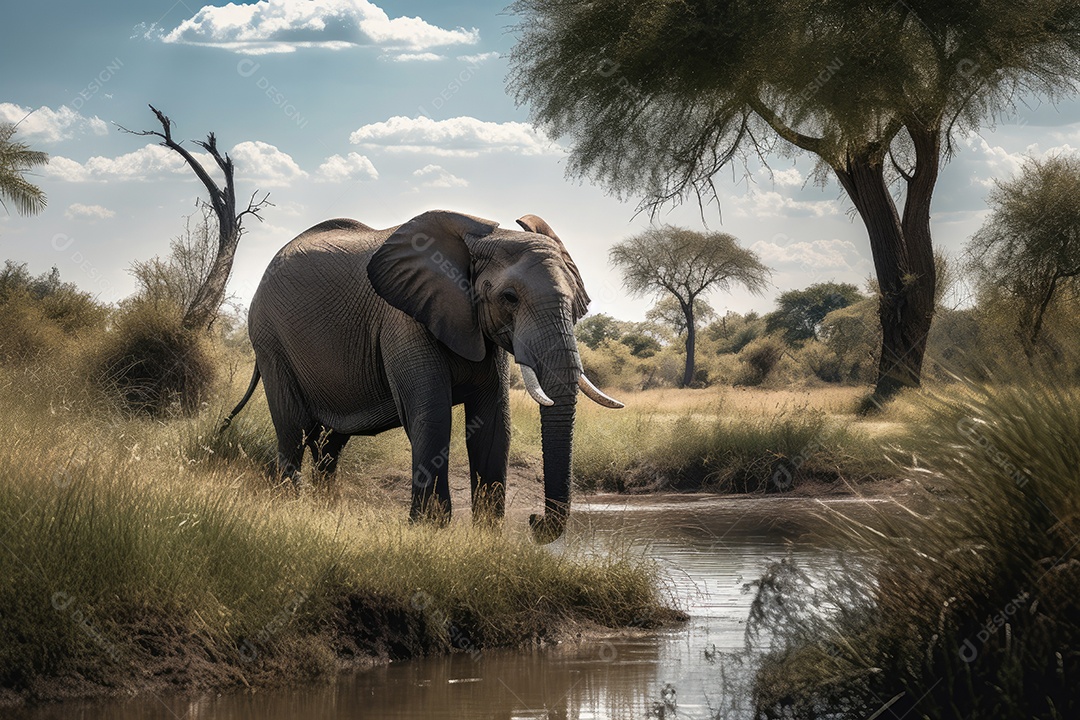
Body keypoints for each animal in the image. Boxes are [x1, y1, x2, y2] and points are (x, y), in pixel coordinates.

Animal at [222, 209, 623, 543]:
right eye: (509, 297)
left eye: (576, 302)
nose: (535, 521)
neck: (477, 240)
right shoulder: (403, 320)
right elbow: (432, 416)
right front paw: (430, 528)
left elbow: (494, 423)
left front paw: (486, 534)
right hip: (270, 339)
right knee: (294, 427)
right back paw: (290, 505)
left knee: (330, 442)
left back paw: (325, 509)